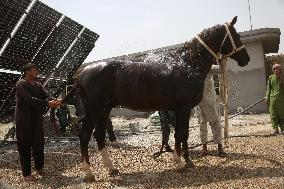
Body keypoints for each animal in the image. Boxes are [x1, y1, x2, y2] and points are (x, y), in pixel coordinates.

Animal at [61, 16, 248, 180]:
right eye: (236, 36)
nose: (246, 59)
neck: (186, 66)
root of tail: (82, 74)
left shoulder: (182, 110)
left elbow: (183, 134)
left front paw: (186, 161)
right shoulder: (183, 108)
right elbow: (180, 134)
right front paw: (180, 162)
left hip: (105, 109)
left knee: (99, 135)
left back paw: (111, 168)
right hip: (94, 109)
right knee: (85, 135)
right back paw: (89, 173)